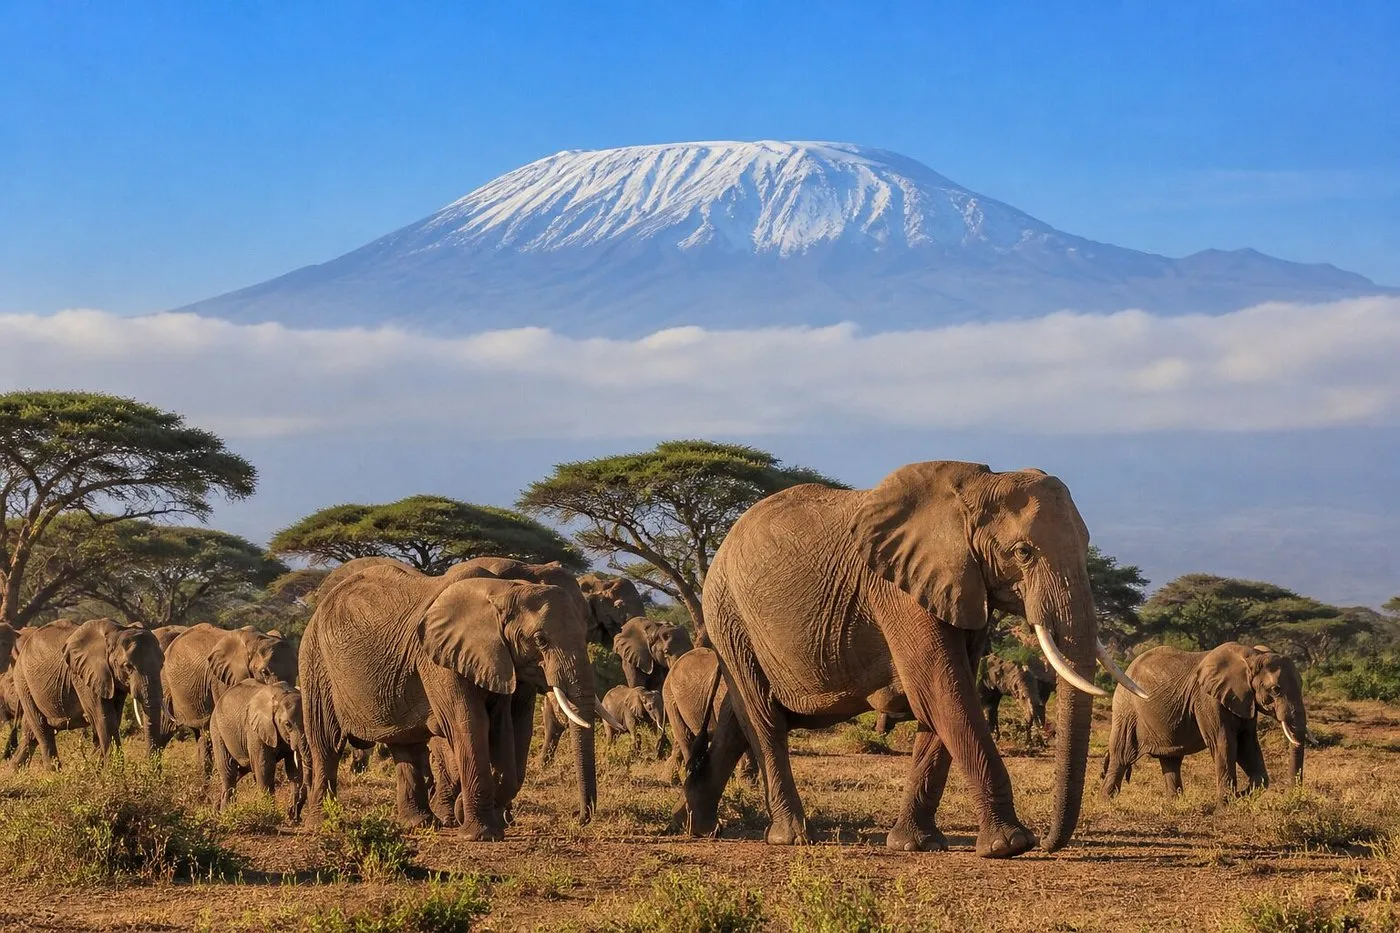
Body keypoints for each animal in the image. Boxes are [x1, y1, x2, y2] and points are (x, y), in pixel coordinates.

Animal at [13, 618, 166, 765]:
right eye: (128, 666)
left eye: (162, 664)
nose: (150, 766)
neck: (117, 632)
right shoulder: (84, 677)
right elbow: (105, 719)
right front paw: (112, 770)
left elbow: (112, 719)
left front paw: (97, 767)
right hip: (23, 683)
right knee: (43, 732)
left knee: (30, 736)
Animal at [209, 679, 309, 819]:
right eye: (287, 724)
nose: (292, 814)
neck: (281, 696)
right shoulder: (255, 731)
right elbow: (264, 767)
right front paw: (270, 815)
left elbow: (293, 769)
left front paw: (293, 817)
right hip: (217, 730)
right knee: (229, 771)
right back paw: (226, 814)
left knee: (241, 770)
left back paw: (217, 809)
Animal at [299, 556, 602, 840]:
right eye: (540, 640)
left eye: (588, 628)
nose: (579, 817)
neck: (505, 589)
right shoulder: (439, 659)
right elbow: (469, 724)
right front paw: (479, 834)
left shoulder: (497, 659)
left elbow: (504, 729)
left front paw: (479, 818)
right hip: (316, 664)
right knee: (326, 744)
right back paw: (321, 824)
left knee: (405, 744)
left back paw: (420, 822)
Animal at [679, 461, 1145, 858]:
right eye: (1023, 552)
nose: (1048, 843)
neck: (977, 486)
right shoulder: (898, 591)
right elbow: (942, 690)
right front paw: (1011, 845)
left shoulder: (963, 586)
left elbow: (942, 697)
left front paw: (916, 845)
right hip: (727, 613)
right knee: (763, 719)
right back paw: (790, 837)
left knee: (736, 719)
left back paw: (697, 824)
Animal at [1101, 642, 1306, 801]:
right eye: (1276, 689)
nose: (1292, 794)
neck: (1253, 655)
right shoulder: (1208, 700)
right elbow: (1224, 743)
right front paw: (1226, 805)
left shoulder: (1246, 701)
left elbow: (1247, 744)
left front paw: (1239, 796)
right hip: (1126, 709)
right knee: (1121, 756)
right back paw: (1107, 801)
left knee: (1170, 760)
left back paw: (1175, 804)